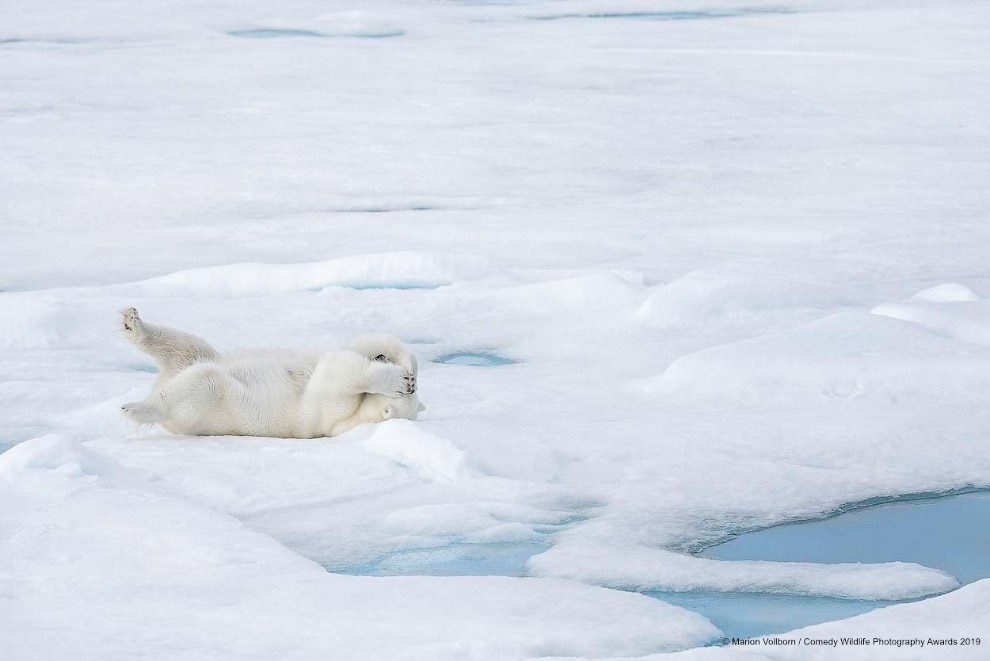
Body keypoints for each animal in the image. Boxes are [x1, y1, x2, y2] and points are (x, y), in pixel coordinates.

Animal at [118, 306, 424, 436]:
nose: (382, 359)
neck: (360, 416)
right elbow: (358, 347)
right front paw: (407, 369)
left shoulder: (332, 414)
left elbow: (338, 372)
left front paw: (396, 380)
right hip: (195, 356)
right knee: (185, 346)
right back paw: (133, 323)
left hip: (205, 407)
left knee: (201, 380)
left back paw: (134, 408)